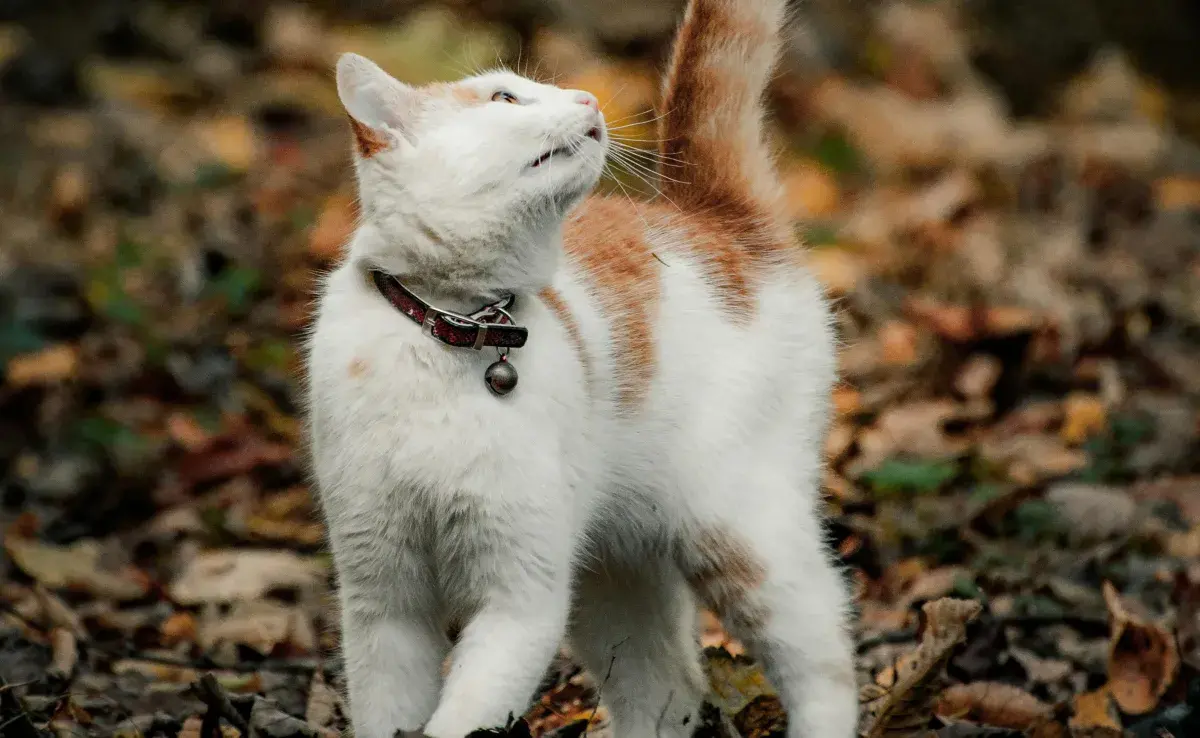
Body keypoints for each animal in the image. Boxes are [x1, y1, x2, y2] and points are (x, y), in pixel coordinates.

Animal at [304, 1, 859, 738]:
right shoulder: (384, 605)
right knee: (668, 689)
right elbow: (391, 716)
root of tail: (709, 214)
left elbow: (464, 717)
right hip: (611, 578)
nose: (588, 97)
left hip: (739, 534)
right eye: (504, 98)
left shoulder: (521, 597)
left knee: (825, 659)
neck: (450, 332)